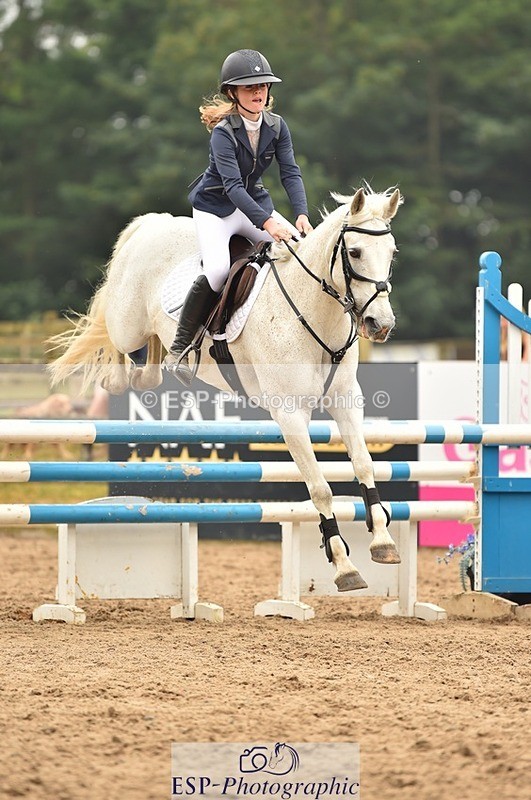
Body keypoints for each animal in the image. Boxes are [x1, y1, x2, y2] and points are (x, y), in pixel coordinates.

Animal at [48, 185, 403, 592]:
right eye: (355, 252)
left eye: (392, 252)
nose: (381, 324)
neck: (315, 311)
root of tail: (151, 223)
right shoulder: (290, 414)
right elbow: (320, 488)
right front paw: (344, 566)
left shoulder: (346, 400)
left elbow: (364, 465)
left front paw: (383, 542)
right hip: (127, 325)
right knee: (118, 355)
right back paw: (120, 374)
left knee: (148, 370)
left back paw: (171, 356)